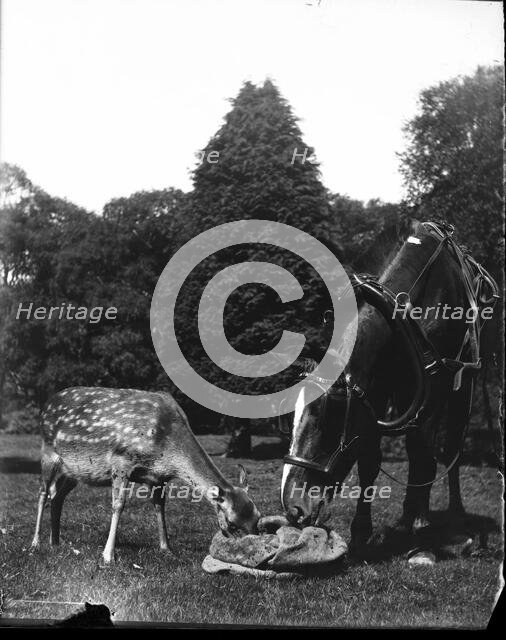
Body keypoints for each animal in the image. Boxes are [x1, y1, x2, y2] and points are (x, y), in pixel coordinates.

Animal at [30, 387, 260, 564]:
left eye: (258, 517)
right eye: (232, 523)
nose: (254, 549)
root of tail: (45, 406)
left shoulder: (159, 477)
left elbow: (160, 507)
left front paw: (166, 548)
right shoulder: (121, 460)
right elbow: (118, 505)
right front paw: (108, 556)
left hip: (73, 473)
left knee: (57, 497)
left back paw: (55, 542)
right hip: (48, 453)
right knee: (42, 494)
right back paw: (36, 543)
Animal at [280, 220, 499, 556]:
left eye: (330, 416)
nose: (293, 507)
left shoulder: (438, 384)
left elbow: (424, 455)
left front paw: (421, 539)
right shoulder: (374, 391)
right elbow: (370, 459)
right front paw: (361, 532)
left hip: (464, 384)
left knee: (449, 450)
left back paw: (450, 521)